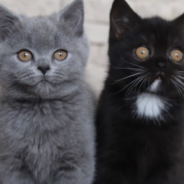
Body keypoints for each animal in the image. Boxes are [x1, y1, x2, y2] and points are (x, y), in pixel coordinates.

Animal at [0, 0, 95, 184]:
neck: (42, 110)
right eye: (24, 55)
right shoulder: (11, 162)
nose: (43, 66)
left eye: (60, 54)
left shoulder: (78, 161)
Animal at [94, 0, 184, 184]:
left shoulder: (172, 161)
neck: (149, 101)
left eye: (177, 54)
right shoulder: (109, 154)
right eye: (142, 51)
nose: (161, 64)